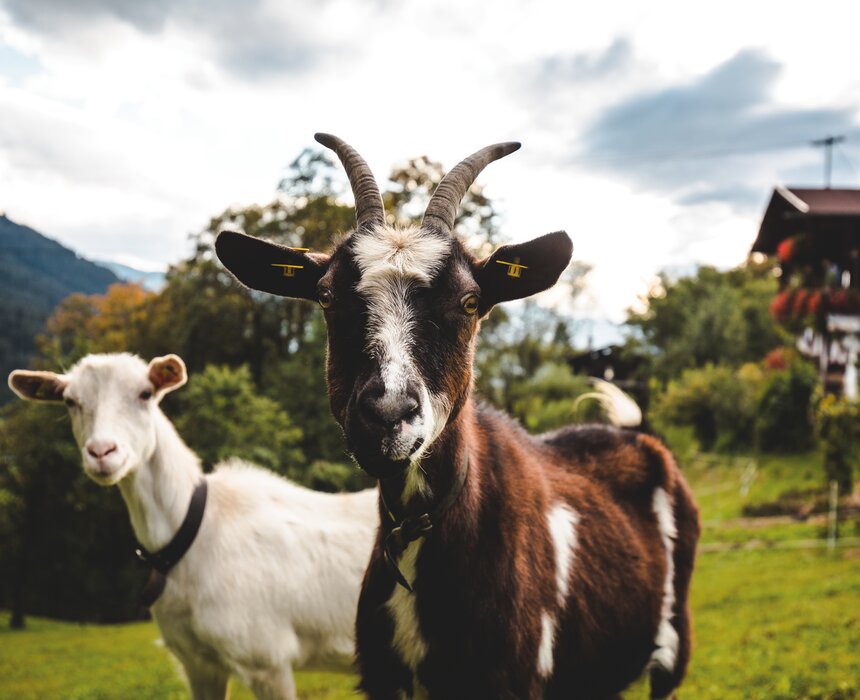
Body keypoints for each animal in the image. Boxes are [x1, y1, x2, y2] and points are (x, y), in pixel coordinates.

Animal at [8, 353, 378, 700]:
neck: (193, 536)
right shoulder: (197, 661)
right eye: (70, 401)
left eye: (145, 393)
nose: (101, 452)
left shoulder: (267, 656)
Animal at [215, 134, 700, 699]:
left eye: (470, 301)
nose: (387, 414)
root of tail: (637, 434)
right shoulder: (383, 679)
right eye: (327, 296)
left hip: (673, 645)